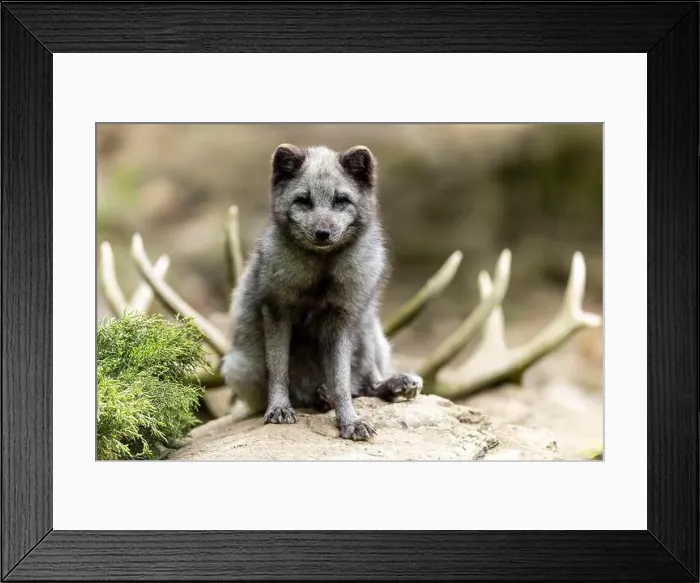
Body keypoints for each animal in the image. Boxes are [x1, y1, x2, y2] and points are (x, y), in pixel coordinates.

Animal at [220, 143, 422, 440]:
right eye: (303, 201)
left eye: (341, 200)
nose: (323, 233)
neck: (322, 271)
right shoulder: (277, 311)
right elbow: (279, 370)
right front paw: (279, 408)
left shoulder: (340, 319)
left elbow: (341, 380)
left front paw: (350, 421)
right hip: (240, 367)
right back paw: (319, 397)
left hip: (367, 323)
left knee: (364, 382)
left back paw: (390, 385)